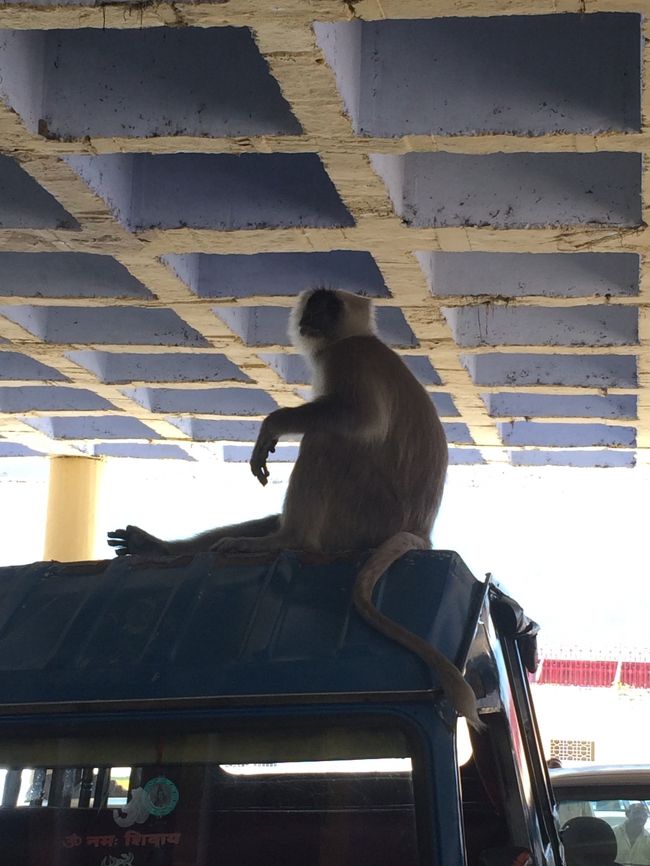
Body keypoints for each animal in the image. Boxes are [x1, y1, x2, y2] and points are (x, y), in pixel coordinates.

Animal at [107, 286, 480, 724]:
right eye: (314, 304)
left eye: (329, 307)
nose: (312, 318)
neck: (357, 337)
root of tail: (421, 532)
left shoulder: (349, 357)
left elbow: (362, 418)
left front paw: (275, 423)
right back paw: (164, 547)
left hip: (362, 516)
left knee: (326, 440)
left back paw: (288, 539)